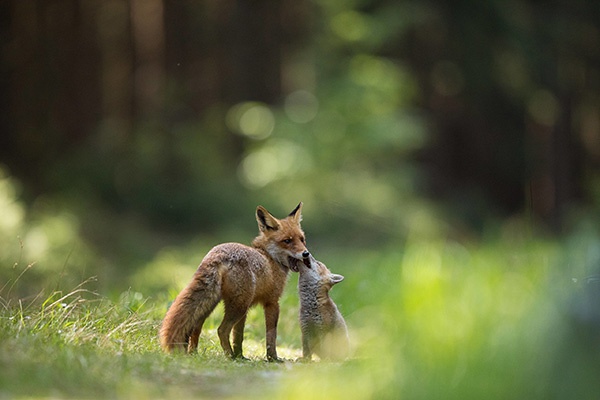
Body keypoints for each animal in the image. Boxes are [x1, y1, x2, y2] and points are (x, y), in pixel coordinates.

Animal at [159, 203, 310, 362]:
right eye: (287, 241)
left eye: (302, 239)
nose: (306, 253)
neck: (270, 258)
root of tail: (216, 255)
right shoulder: (272, 302)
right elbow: (271, 335)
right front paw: (273, 358)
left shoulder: (247, 308)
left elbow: (238, 335)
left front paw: (241, 356)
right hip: (237, 306)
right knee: (221, 329)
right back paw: (229, 355)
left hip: (215, 303)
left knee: (196, 327)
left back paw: (194, 354)